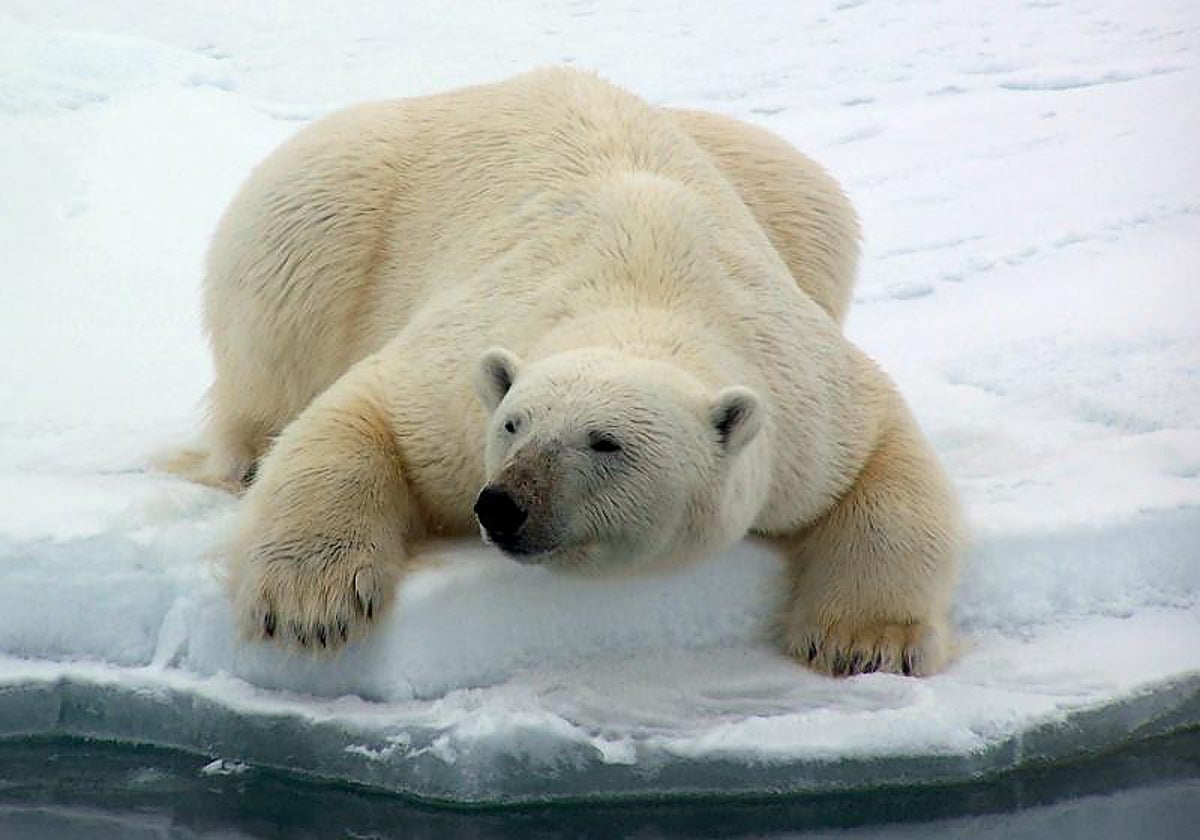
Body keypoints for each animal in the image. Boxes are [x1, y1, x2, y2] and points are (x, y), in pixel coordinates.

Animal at [165, 68, 963, 677]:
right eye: (512, 424)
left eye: (606, 443)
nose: (502, 504)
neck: (645, 293)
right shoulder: (457, 381)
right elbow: (366, 411)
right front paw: (310, 605)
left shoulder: (805, 397)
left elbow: (886, 465)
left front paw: (865, 644)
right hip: (341, 194)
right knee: (287, 278)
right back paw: (246, 454)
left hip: (777, 189)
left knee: (812, 203)